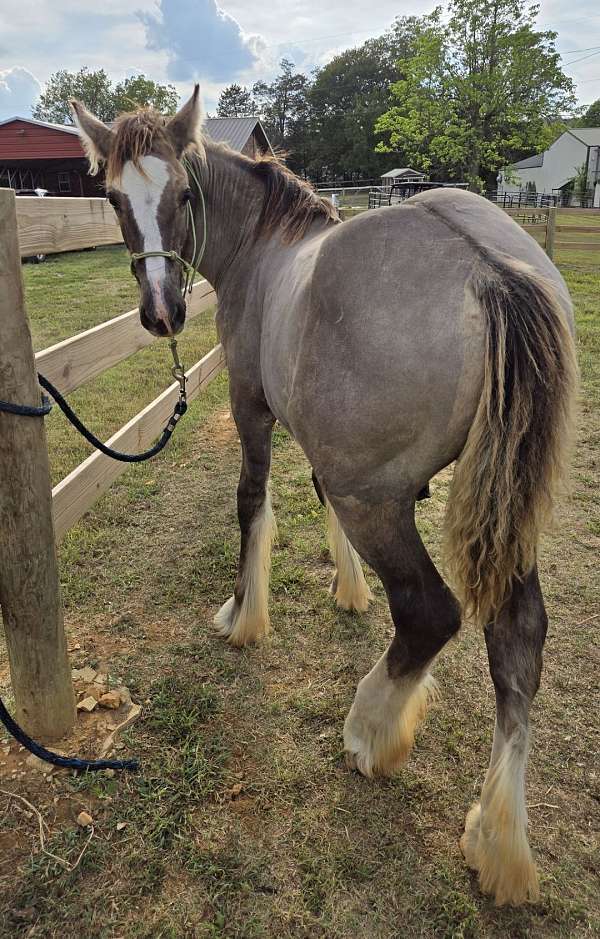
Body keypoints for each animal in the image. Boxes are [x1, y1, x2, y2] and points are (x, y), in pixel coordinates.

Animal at [70, 92, 576, 908]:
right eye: (115, 197)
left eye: (183, 195)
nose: (161, 312)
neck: (266, 248)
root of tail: (488, 270)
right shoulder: (321, 447)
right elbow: (314, 502)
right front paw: (348, 588)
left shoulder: (253, 408)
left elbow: (252, 503)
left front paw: (243, 614)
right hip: (506, 511)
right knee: (518, 637)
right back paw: (497, 836)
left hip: (379, 501)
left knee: (431, 613)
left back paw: (371, 730)